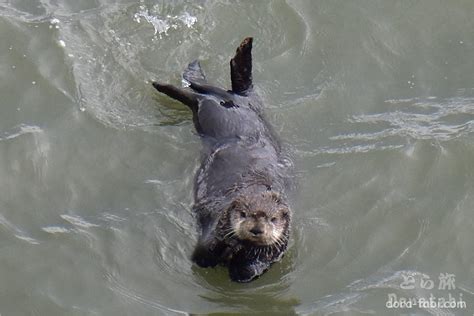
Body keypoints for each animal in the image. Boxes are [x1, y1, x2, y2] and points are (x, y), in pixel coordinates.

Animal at [152, 38, 292, 282]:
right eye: (243, 213)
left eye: (273, 219)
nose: (256, 229)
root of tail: (232, 101)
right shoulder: (213, 222)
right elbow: (202, 255)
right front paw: (229, 242)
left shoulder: (269, 256)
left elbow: (246, 273)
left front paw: (239, 252)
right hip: (210, 111)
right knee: (197, 92)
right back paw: (163, 84)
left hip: (244, 105)